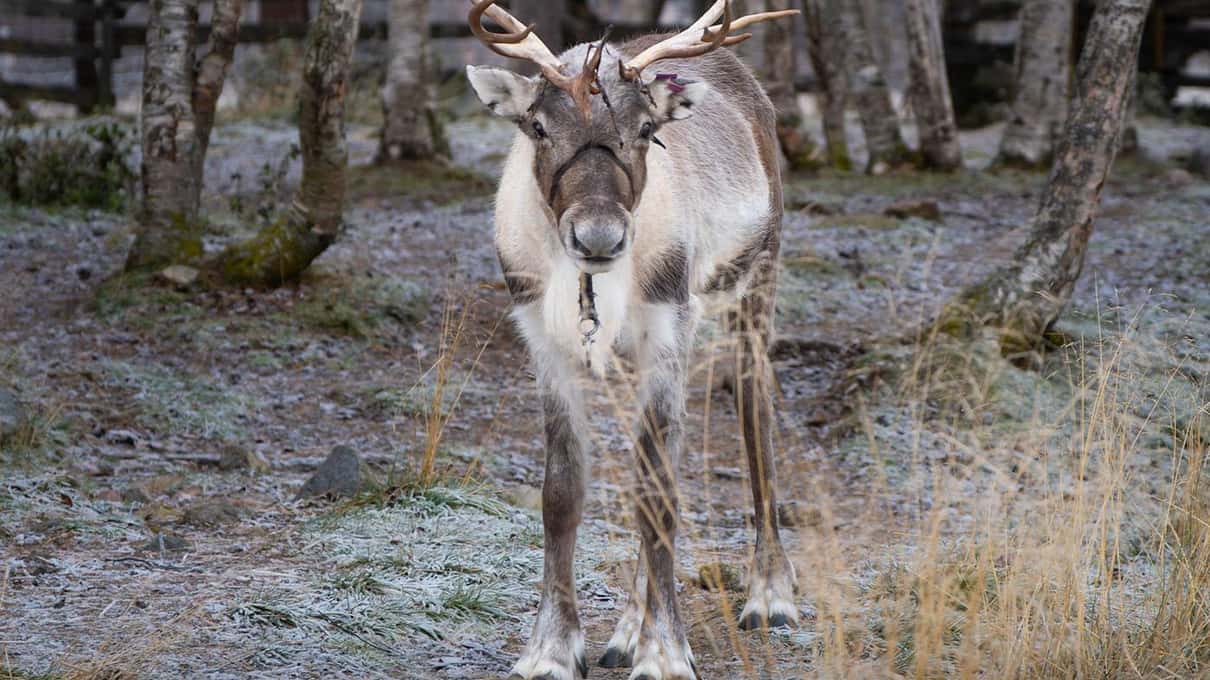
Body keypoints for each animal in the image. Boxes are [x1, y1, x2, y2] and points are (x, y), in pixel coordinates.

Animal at [465, 2, 800, 678]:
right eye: (537, 126)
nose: (599, 238)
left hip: (758, 275)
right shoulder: (543, 339)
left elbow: (659, 492)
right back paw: (623, 632)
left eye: (646, 129)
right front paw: (551, 650)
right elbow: (564, 490)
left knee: (755, 410)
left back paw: (768, 594)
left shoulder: (669, 324)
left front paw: (665, 653)